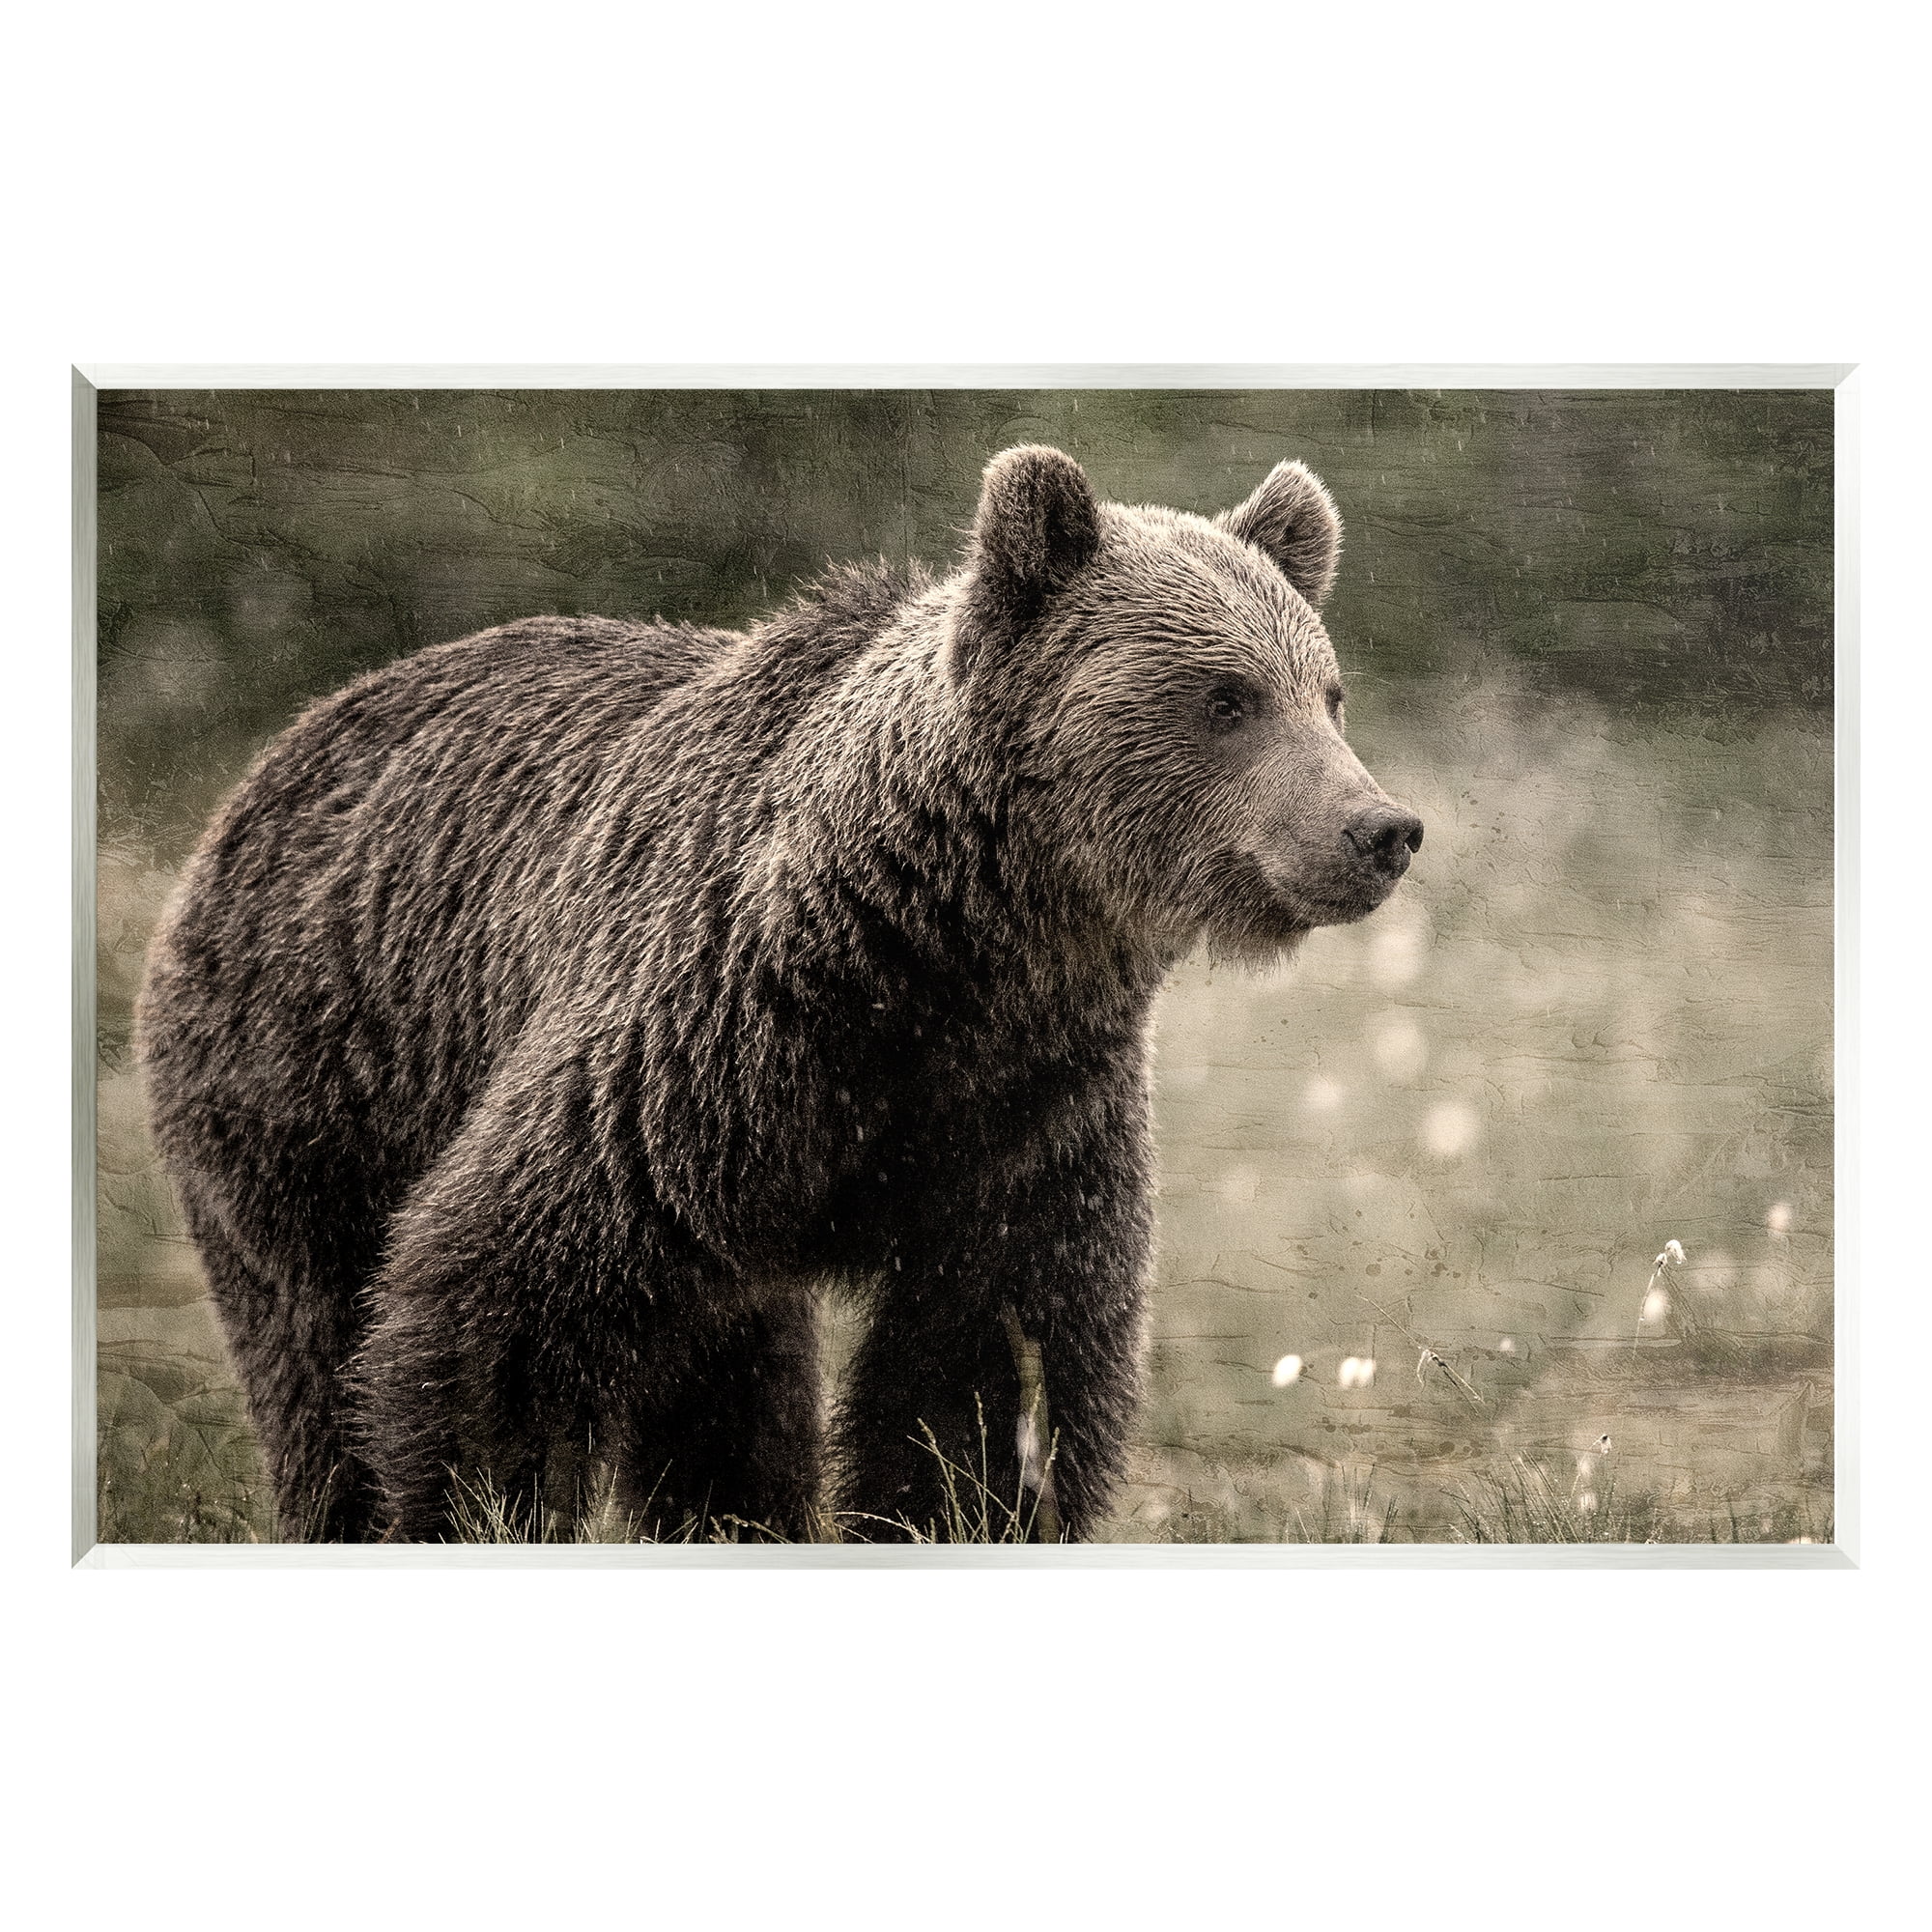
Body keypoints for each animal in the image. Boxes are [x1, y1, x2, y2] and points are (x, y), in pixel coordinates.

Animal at [136, 445, 1423, 1544]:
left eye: (1327, 691)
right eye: (1224, 696)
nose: (1379, 828)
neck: (951, 949)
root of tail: (278, 752)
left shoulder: (1027, 1107)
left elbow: (987, 1360)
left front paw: (954, 1507)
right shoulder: (706, 1042)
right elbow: (499, 1300)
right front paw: (478, 1504)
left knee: (729, 1376)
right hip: (315, 1077)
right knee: (317, 1337)